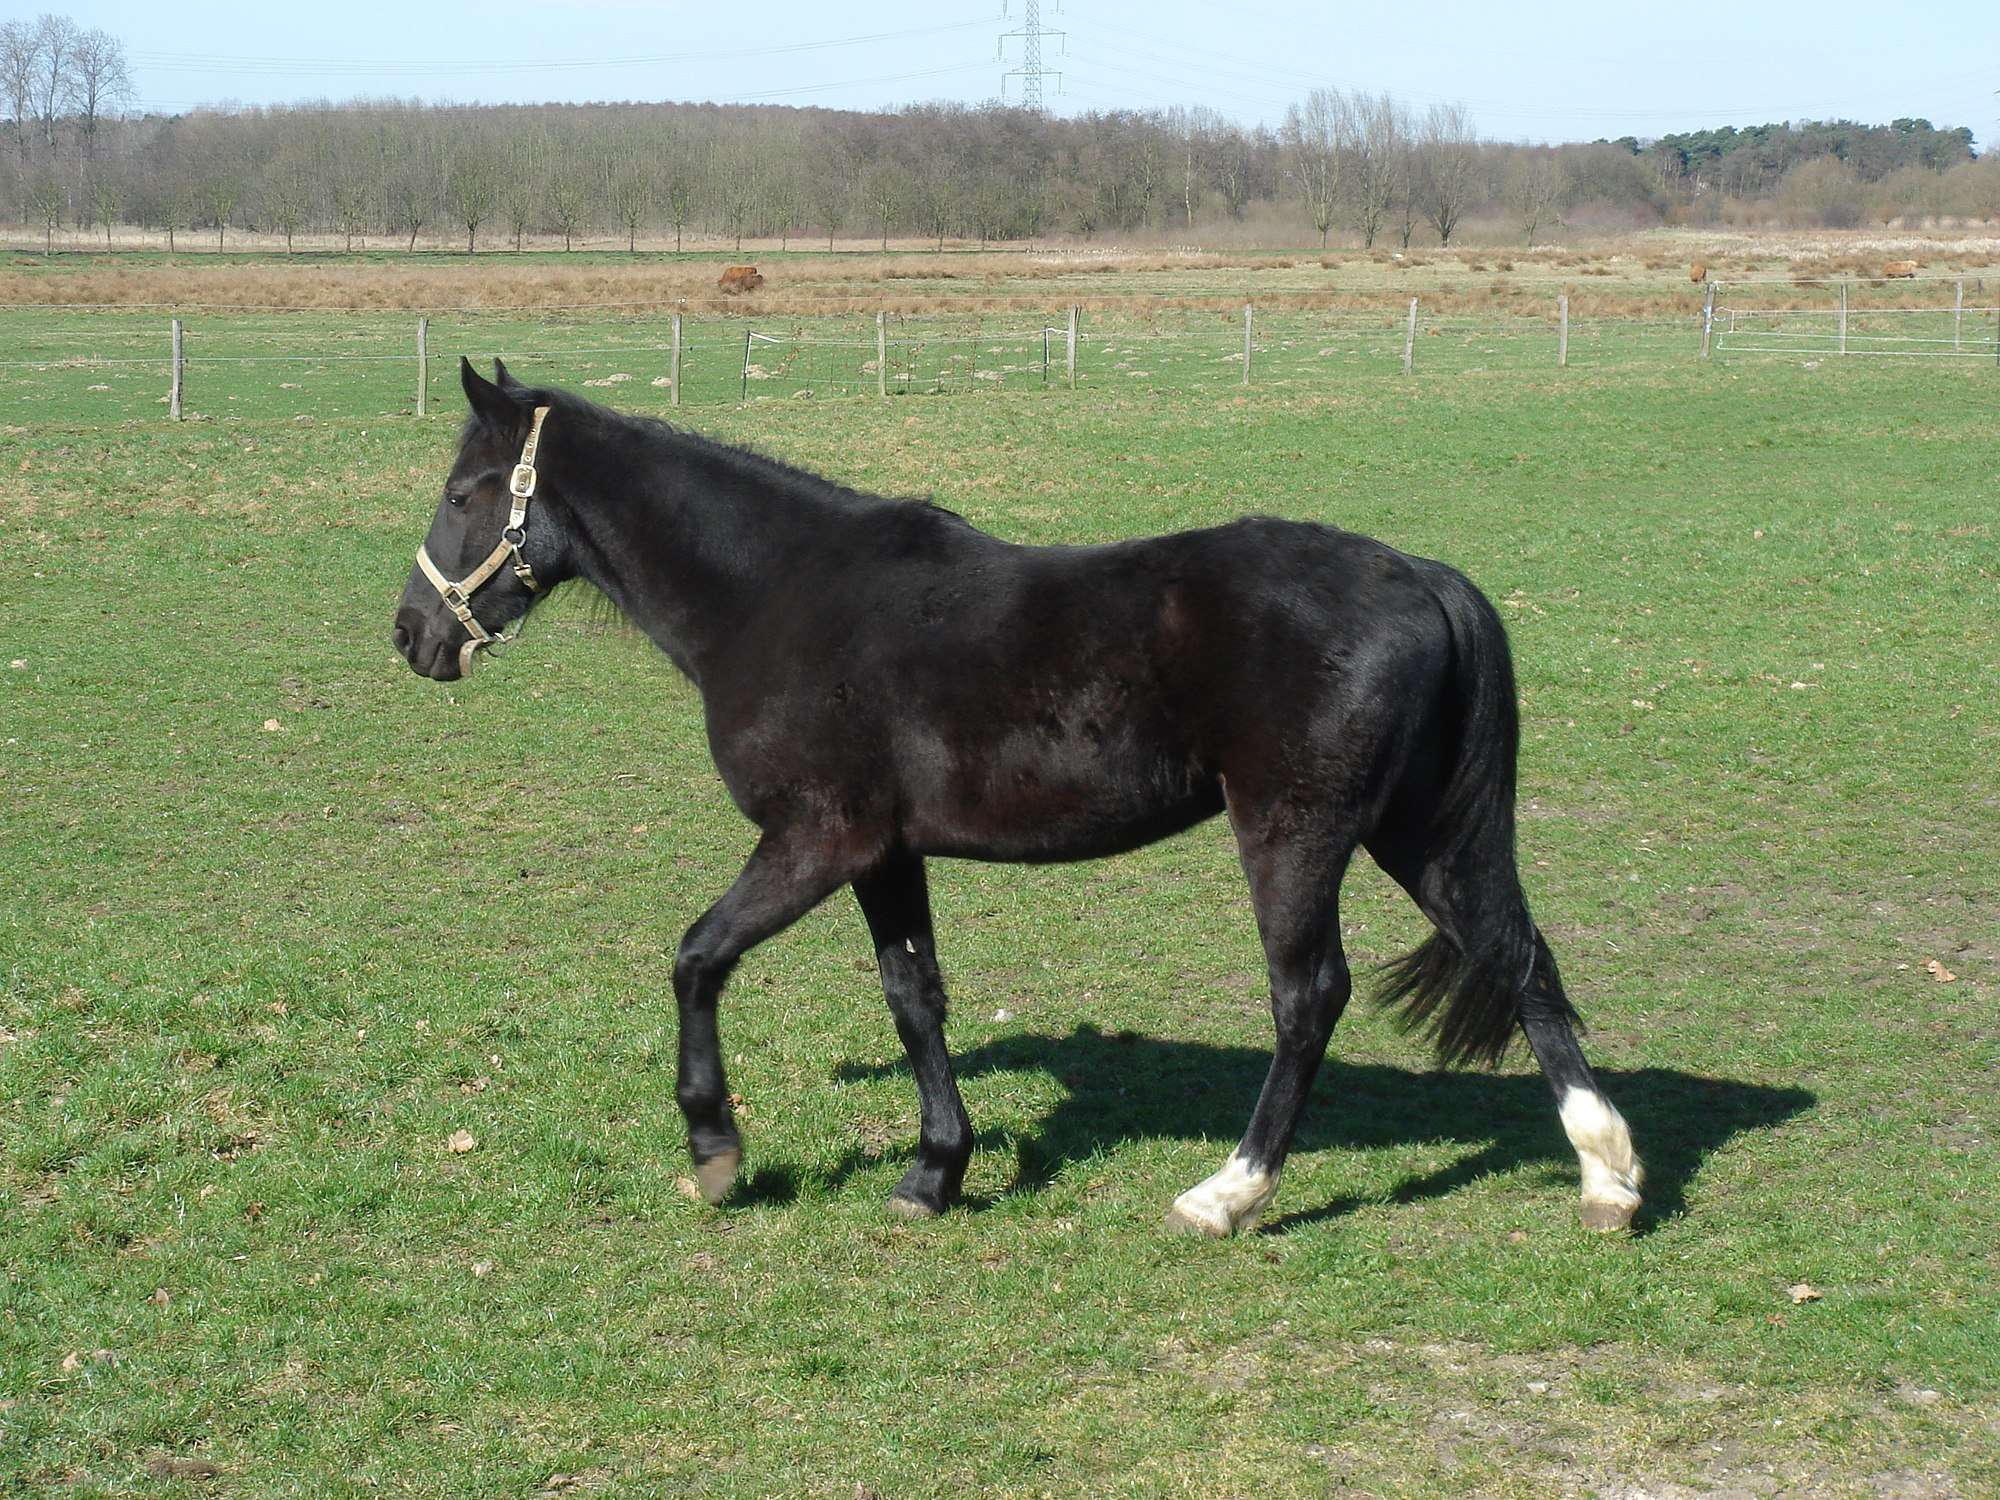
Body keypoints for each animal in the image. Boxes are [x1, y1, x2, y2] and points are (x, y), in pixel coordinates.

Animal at [391, 358, 1643, 1238]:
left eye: (464, 491)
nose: (411, 637)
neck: (779, 594)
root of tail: (1418, 577)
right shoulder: (886, 854)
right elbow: (915, 1000)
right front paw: (933, 1171)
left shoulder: (816, 840)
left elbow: (697, 958)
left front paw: (715, 1151)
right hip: (1417, 833)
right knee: (1516, 954)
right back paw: (1605, 1174)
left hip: (1295, 835)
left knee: (1309, 999)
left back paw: (1225, 1194)